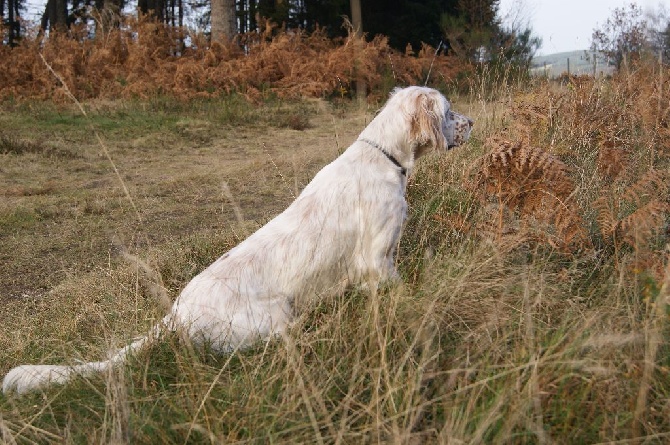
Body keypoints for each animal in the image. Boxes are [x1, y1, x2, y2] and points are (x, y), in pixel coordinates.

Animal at [2, 86, 476, 392]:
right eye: (450, 111)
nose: (471, 122)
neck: (385, 157)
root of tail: (177, 313)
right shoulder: (377, 260)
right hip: (276, 317)